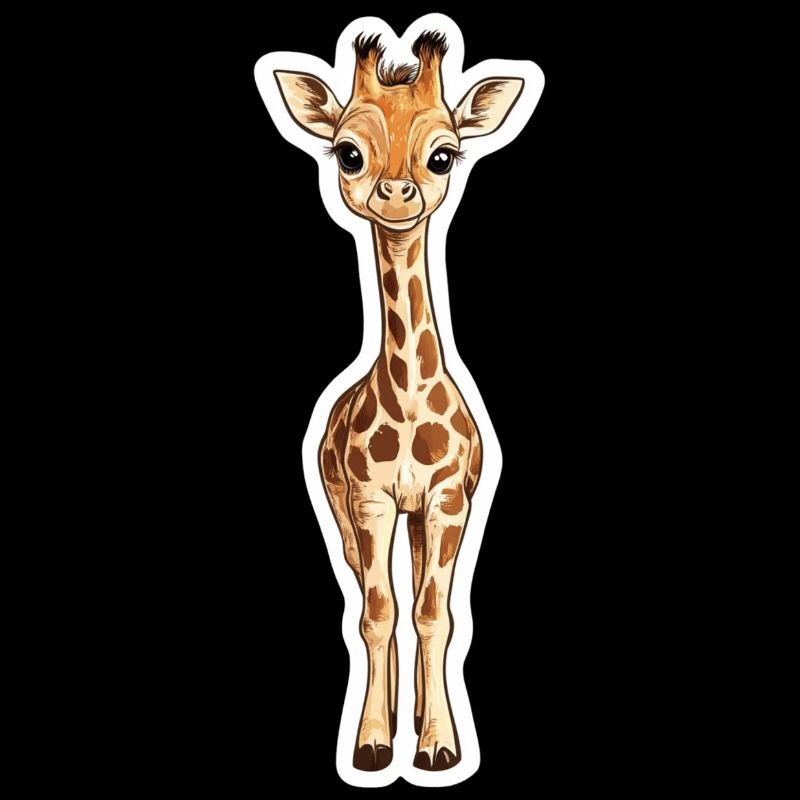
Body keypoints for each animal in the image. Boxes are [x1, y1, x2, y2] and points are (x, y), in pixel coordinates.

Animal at [273, 30, 525, 772]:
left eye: (443, 154)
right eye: (348, 153)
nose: (395, 194)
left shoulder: (447, 499)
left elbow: (435, 613)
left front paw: (439, 745)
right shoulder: (369, 499)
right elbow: (378, 613)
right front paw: (371, 743)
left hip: (424, 517)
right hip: (343, 510)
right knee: (367, 592)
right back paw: (390, 719)